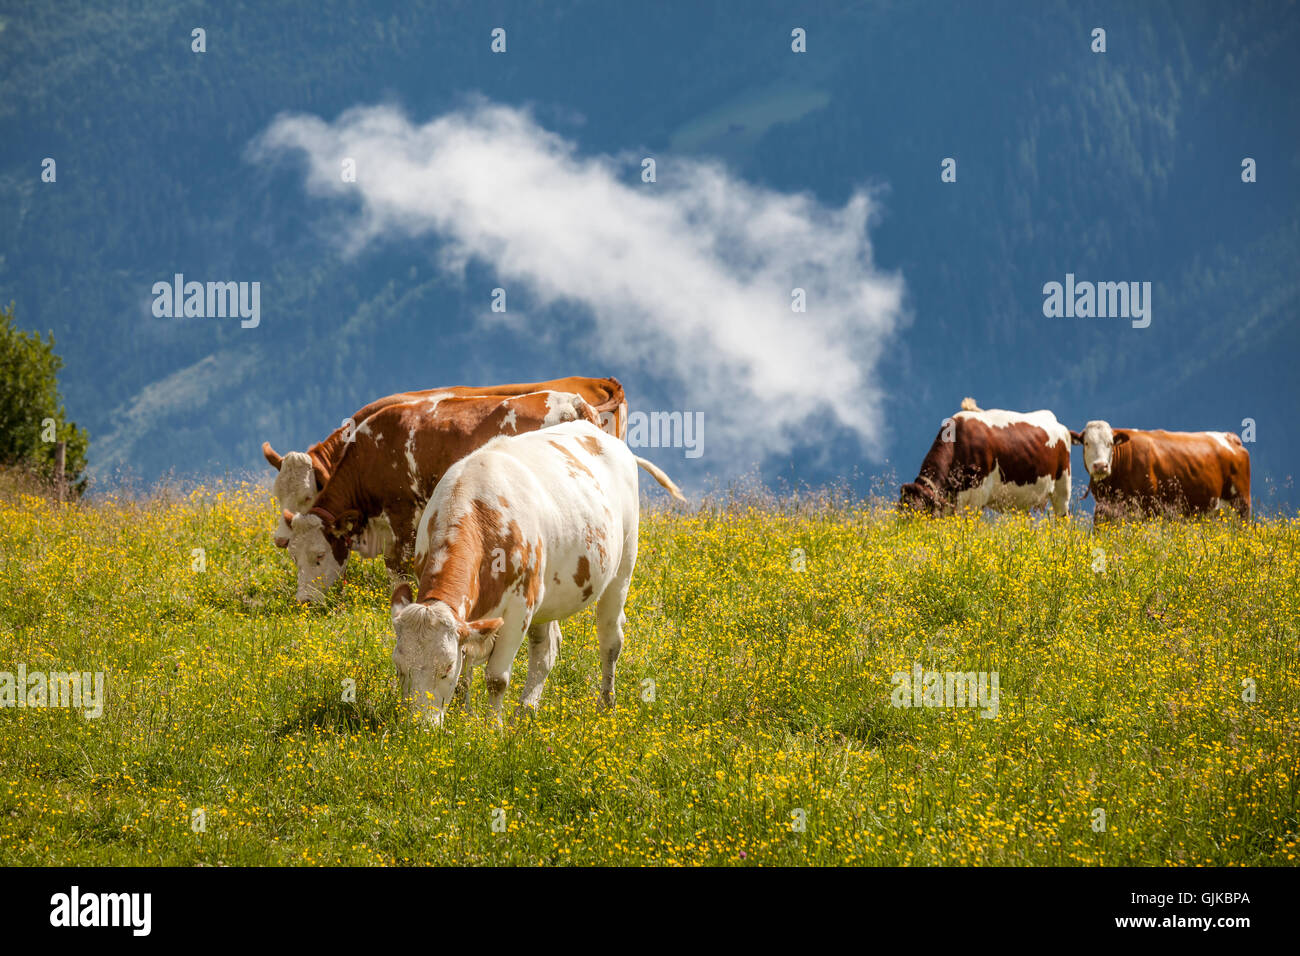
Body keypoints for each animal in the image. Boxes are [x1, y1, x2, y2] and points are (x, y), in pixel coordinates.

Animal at [279, 390, 611, 602]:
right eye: (294, 556)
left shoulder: (402, 510)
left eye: (319, 555)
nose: (304, 601)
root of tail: (572, 400)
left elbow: (397, 563)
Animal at [390, 418, 685, 725]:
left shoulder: (520, 607)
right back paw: (526, 709)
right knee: (546, 651)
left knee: (610, 640)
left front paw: (493, 728)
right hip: (547, 596)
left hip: (622, 567)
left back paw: (606, 704)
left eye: (446, 668)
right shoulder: (472, 618)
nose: (418, 727)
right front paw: (465, 717)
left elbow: (496, 678)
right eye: (399, 668)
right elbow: (466, 673)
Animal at [1071, 421, 1251, 521]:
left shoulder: (1149, 507)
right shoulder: (1102, 508)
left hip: (1241, 503)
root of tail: (1230, 437)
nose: (1100, 466)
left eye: (1110, 443)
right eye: (1086, 443)